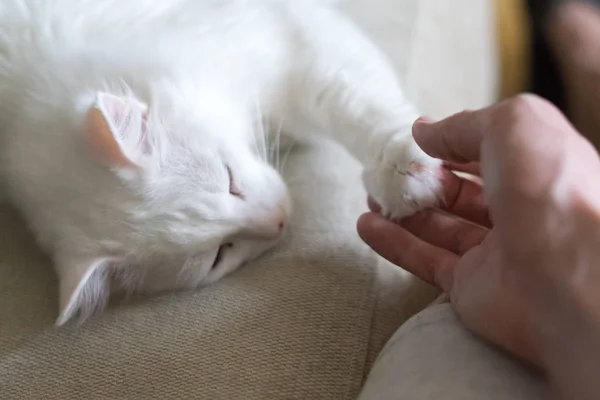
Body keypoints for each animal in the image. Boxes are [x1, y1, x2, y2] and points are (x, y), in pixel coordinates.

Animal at [0, 0, 440, 324]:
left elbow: (361, 108)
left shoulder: (294, 37)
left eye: (231, 181)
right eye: (220, 255)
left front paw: (405, 169)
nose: (280, 220)